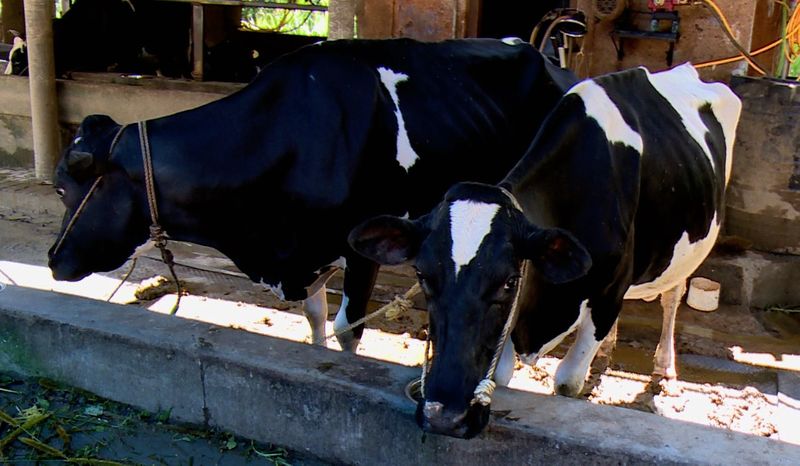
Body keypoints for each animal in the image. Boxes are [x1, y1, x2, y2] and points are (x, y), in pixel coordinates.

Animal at [350, 63, 744, 438]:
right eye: (422, 275)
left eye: (509, 281)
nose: (445, 416)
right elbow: (502, 376)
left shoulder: (607, 295)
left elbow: (567, 382)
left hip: (693, 244)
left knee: (672, 297)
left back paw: (664, 367)